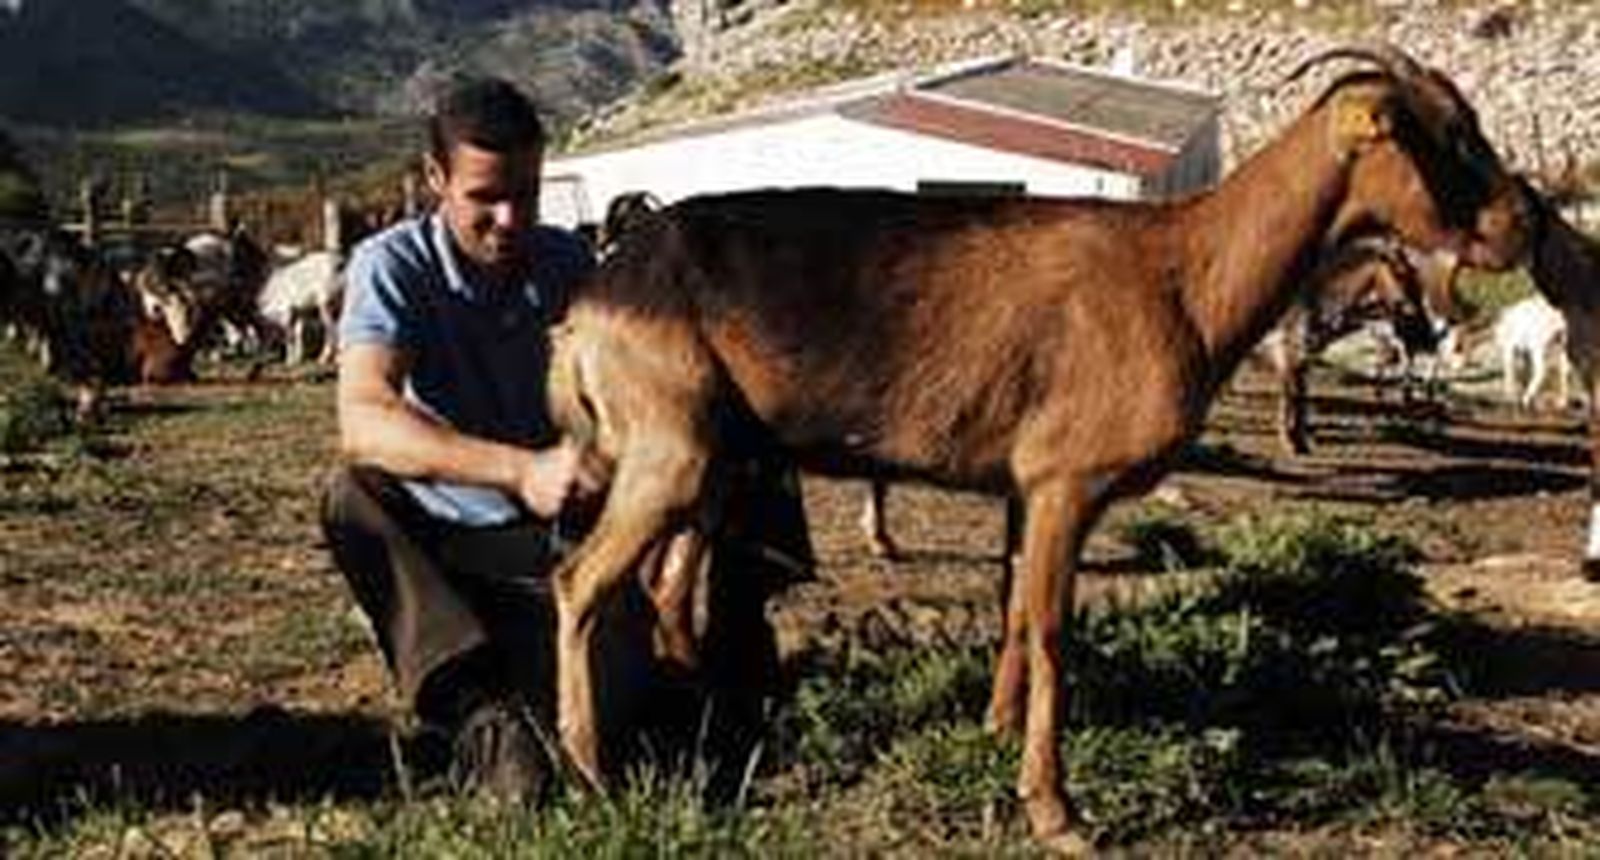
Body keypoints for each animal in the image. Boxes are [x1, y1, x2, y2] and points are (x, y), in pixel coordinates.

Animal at [545, 47, 1528, 849]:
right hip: (666, 451)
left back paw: (706, 721)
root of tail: (592, 303)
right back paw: (593, 771)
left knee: (667, 584)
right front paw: (1055, 809)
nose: (1520, 224)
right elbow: (1055, 630)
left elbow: (1016, 609)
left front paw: (990, 731)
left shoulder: (1025, 487)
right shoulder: (1068, 482)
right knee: (581, 582)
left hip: (710, 459)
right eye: (1444, 136)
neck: (1182, 273)